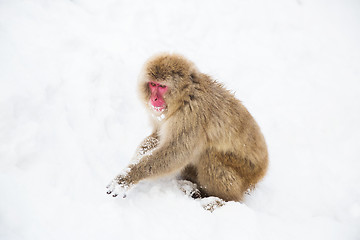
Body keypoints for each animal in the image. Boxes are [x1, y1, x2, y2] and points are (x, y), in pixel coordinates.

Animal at [105, 53, 268, 202]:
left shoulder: (192, 114)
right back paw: (190, 187)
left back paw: (218, 200)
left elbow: (176, 152)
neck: (185, 96)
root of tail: (262, 171)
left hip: (245, 171)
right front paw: (128, 167)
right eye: (152, 84)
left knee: (210, 156)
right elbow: (157, 137)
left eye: (162, 86)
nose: (154, 99)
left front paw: (128, 178)